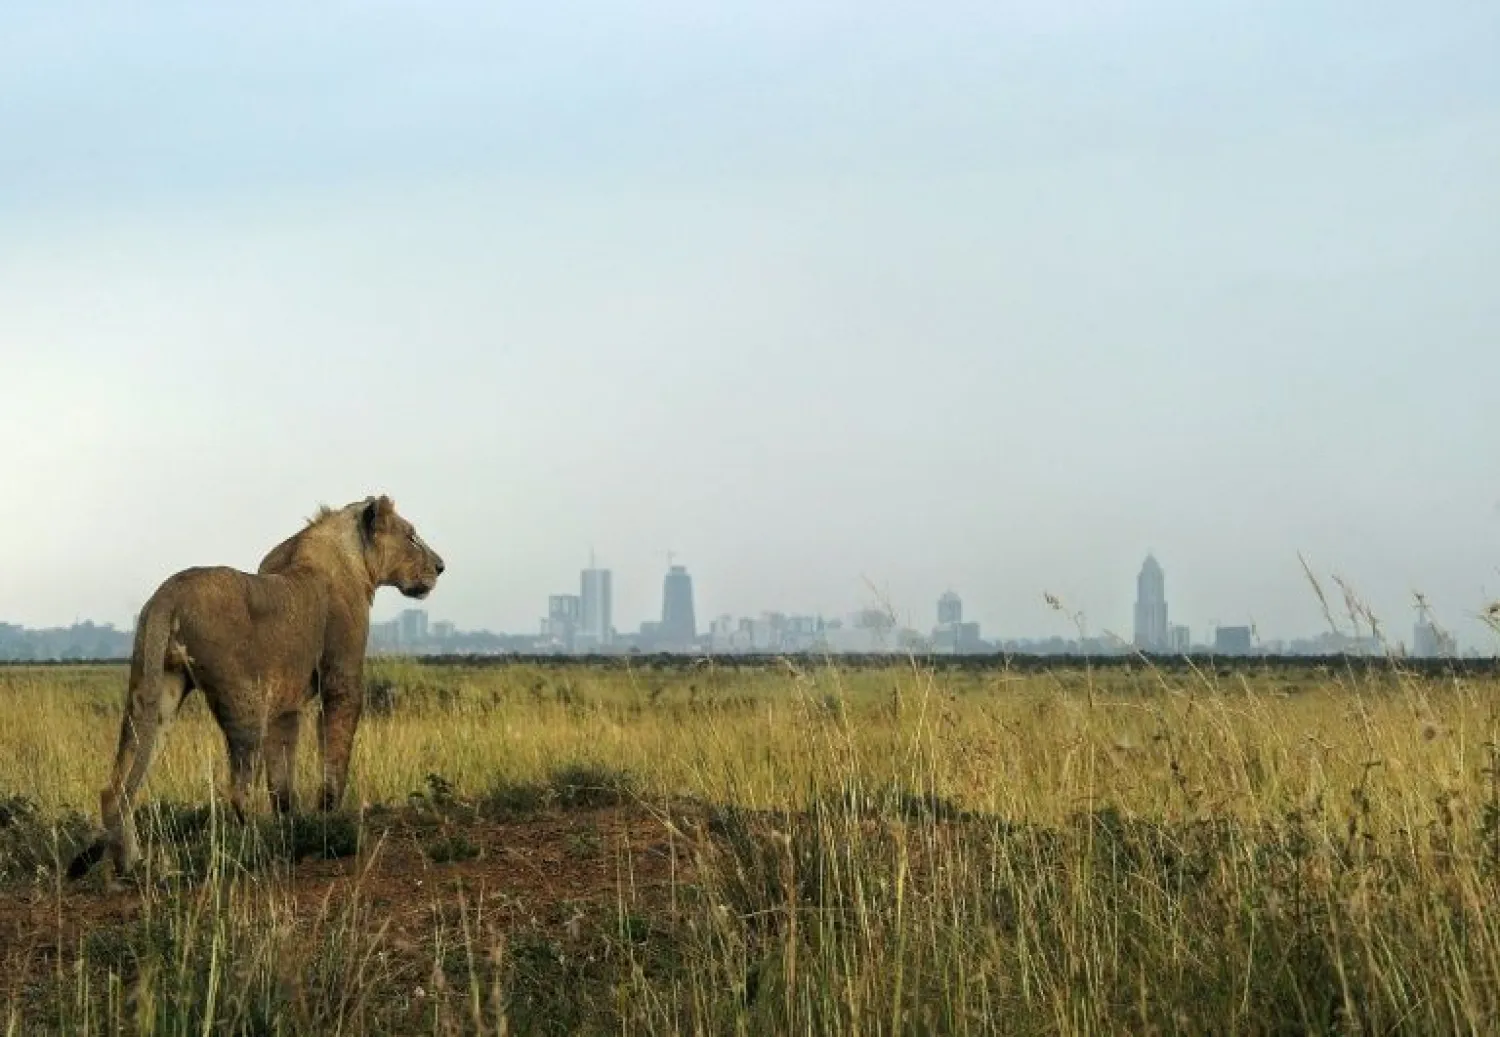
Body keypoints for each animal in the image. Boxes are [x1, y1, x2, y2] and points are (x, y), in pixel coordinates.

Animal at [67, 495, 444, 880]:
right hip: (243, 702)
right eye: (411, 536)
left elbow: (282, 782)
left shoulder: (285, 706)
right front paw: (329, 823)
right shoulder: (341, 680)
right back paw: (259, 852)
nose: (441, 566)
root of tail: (168, 592)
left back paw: (132, 867)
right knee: (237, 791)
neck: (349, 557)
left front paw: (292, 827)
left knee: (117, 787)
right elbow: (334, 758)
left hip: (156, 693)